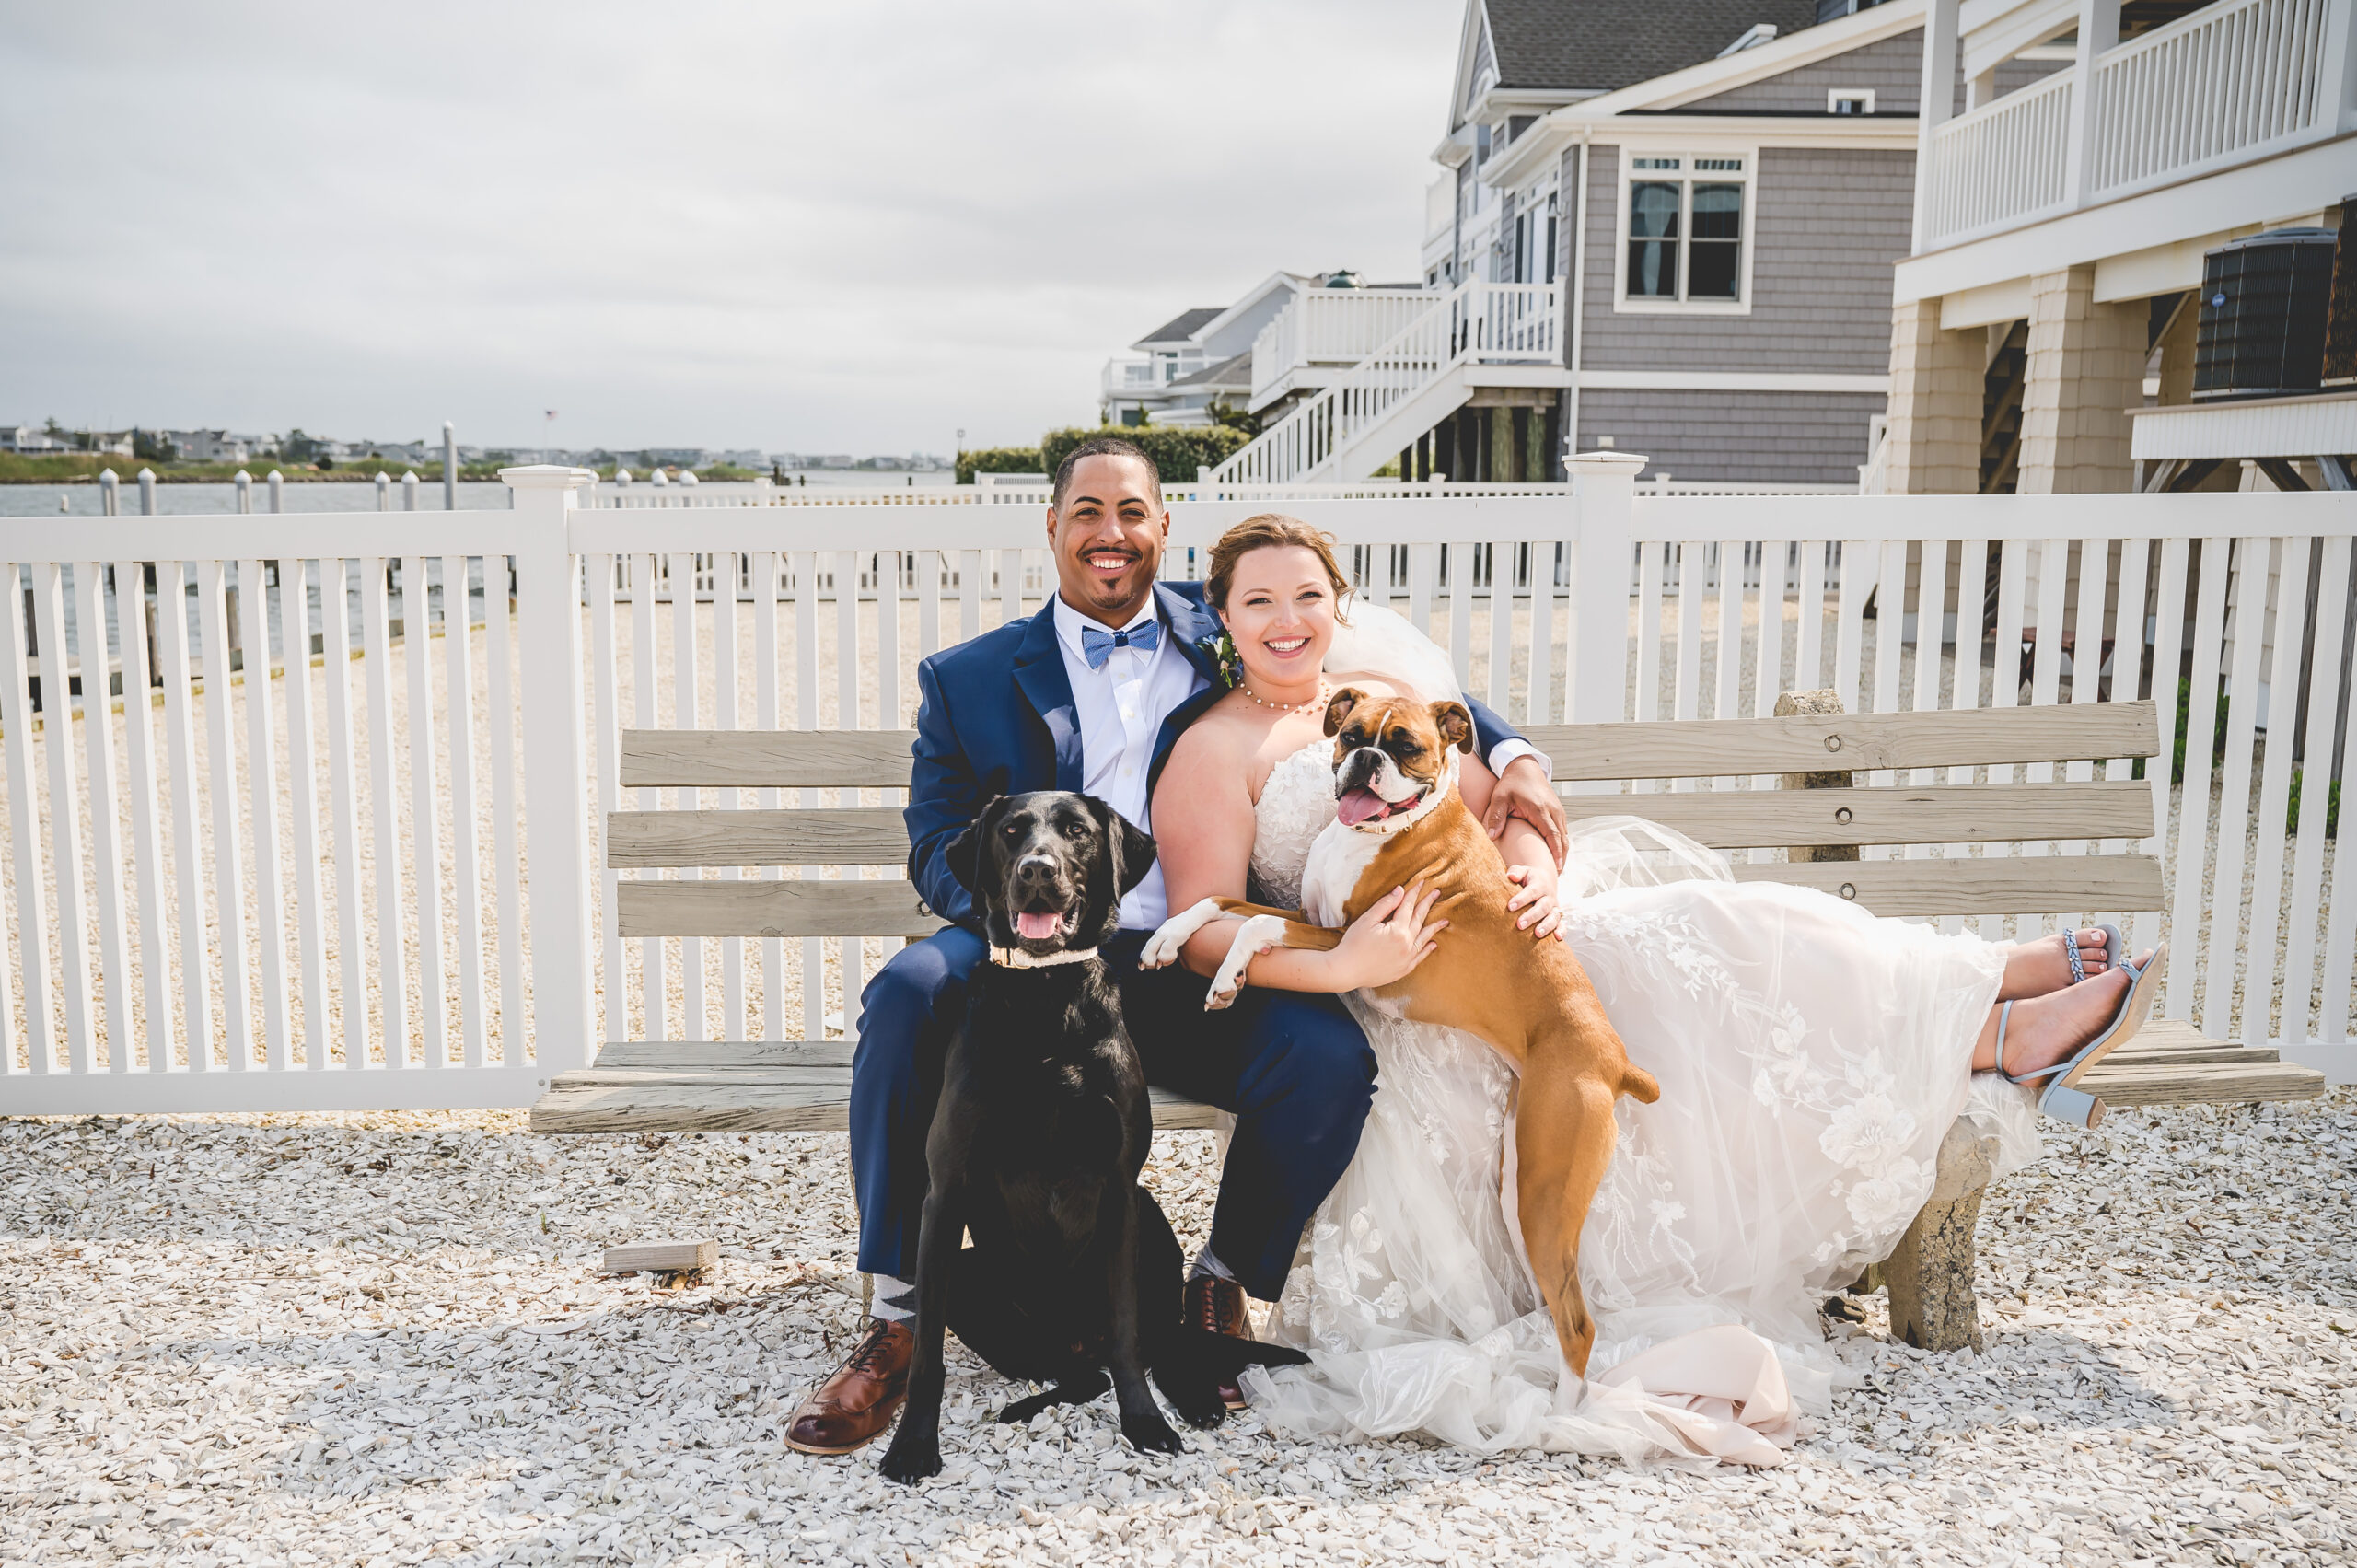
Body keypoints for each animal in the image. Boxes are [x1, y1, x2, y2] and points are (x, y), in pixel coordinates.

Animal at [877, 787, 1310, 1490]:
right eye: (1011, 831)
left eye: (1076, 832)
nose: (1037, 869)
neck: (1046, 998)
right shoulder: (944, 1193)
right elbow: (926, 1357)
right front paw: (913, 1443)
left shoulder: (1118, 1185)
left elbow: (1128, 1336)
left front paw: (1146, 1423)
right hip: (976, 1281)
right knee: (1081, 1375)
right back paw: (1028, 1404)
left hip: (1151, 1226)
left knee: (1154, 1343)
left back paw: (1195, 1397)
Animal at [1141, 683, 1659, 1367]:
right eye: (1352, 734)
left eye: (1405, 746)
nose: (1366, 760)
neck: (1390, 828)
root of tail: (1615, 1059)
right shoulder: (1310, 915)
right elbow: (1221, 903)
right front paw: (1165, 940)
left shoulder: (1343, 937)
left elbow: (1255, 926)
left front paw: (1227, 977)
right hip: (1520, 1189)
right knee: (1553, 1298)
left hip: (1547, 1192)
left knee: (1580, 1324)